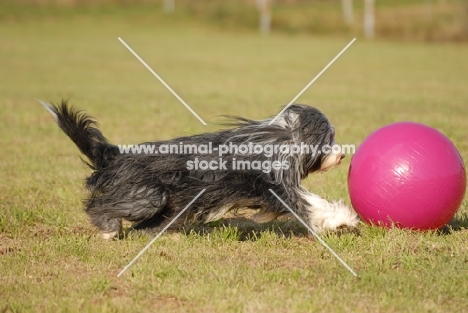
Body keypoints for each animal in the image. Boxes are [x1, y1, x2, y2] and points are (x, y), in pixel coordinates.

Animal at [43, 100, 358, 239]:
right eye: (328, 139)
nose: (342, 154)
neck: (279, 138)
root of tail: (116, 155)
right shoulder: (280, 186)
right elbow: (311, 203)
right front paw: (342, 220)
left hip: (167, 205)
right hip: (145, 197)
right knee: (100, 206)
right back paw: (109, 229)